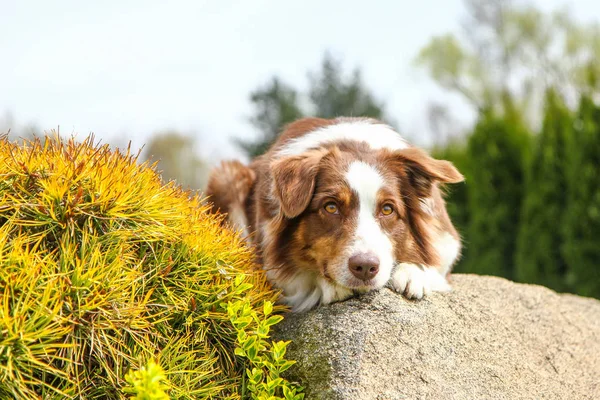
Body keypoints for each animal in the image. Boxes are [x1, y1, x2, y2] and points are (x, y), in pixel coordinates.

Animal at [206, 117, 464, 310]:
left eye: (388, 209)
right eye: (331, 207)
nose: (365, 267)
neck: (354, 144)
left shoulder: (446, 243)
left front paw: (413, 273)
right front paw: (329, 285)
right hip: (227, 177)